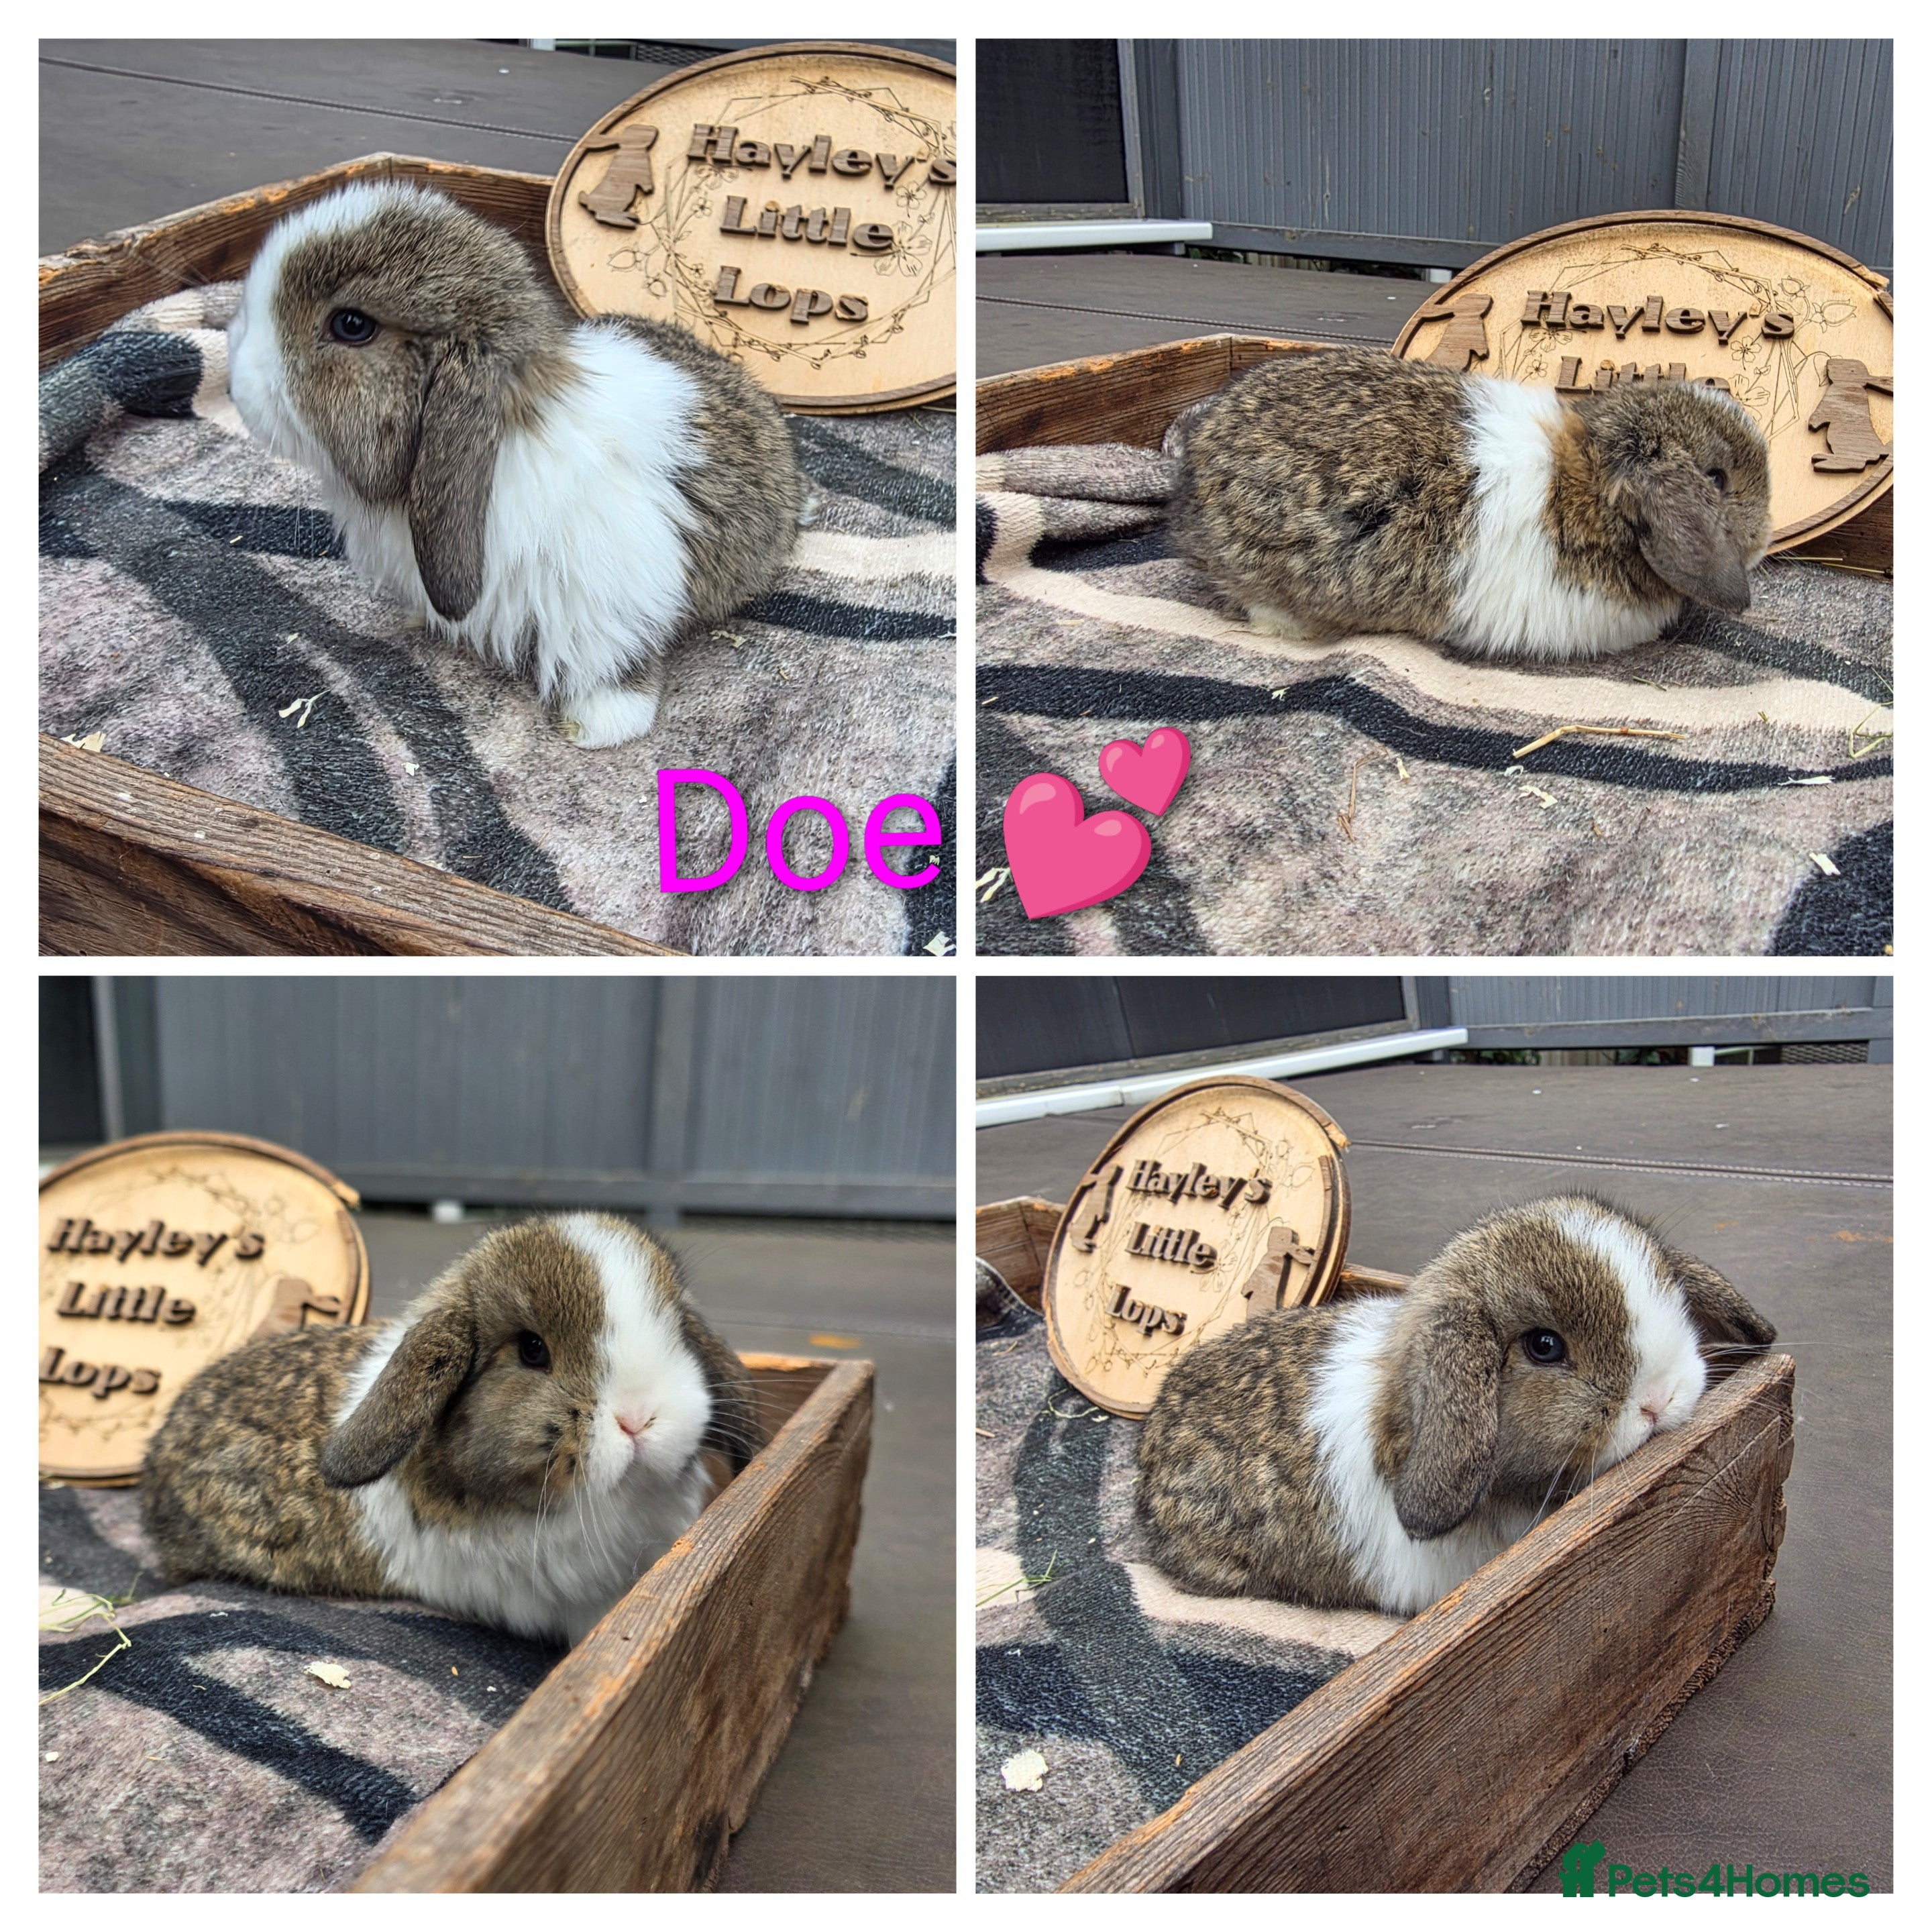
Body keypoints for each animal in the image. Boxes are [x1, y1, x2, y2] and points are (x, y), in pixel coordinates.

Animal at [227, 182, 817, 748]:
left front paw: (597, 729)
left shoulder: (606, 605)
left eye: (351, 325)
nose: (234, 386)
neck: (500, 446)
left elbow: (614, 670)